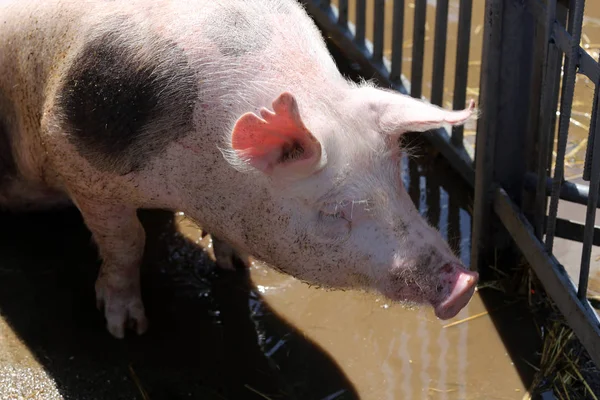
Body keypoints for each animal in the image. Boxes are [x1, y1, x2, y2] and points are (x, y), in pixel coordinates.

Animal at [0, 0, 478, 340]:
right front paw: (126, 330)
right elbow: (127, 244)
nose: (464, 282)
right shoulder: (73, 157)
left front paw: (237, 266)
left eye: (397, 179)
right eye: (332, 211)